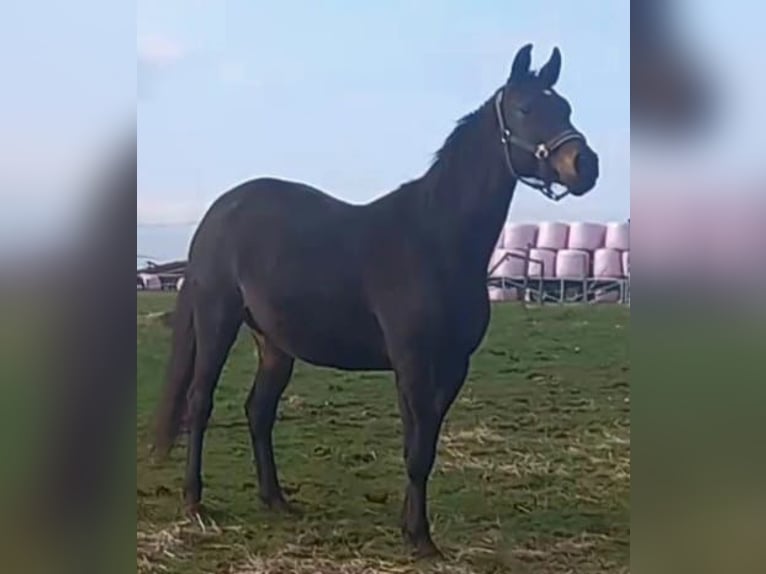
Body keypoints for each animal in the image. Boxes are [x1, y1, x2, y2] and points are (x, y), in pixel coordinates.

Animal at [153, 45, 604, 560]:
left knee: (259, 411)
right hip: (217, 321)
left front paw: (411, 528)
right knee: (199, 403)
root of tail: (218, 213)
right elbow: (417, 449)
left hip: (274, 343)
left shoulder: (452, 366)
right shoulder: (412, 361)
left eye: (565, 107)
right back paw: (195, 501)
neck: (436, 240)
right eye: (526, 109)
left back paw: (276, 500)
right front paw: (421, 539)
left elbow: (423, 445)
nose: (585, 165)